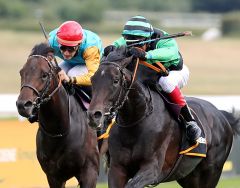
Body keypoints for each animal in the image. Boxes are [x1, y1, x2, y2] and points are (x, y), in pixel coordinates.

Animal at [16, 43, 99, 188]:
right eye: (22, 72)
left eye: (44, 75)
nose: (22, 105)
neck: (60, 131)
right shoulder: (54, 176)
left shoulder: (90, 172)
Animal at [87, 46, 240, 187]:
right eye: (92, 79)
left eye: (116, 80)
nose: (94, 115)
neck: (136, 120)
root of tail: (222, 116)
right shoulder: (117, 168)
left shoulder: (152, 168)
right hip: (189, 176)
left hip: (211, 173)